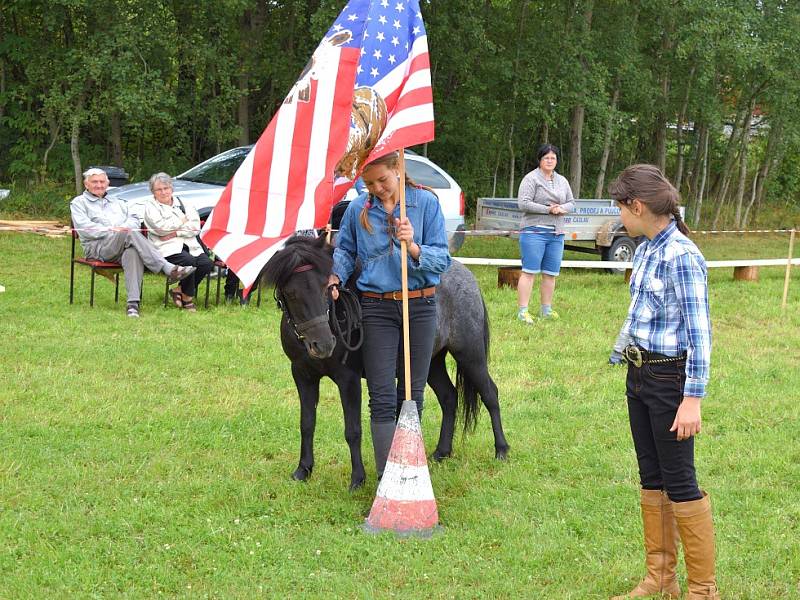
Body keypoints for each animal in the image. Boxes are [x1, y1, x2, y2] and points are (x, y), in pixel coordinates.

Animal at [264, 236, 512, 492]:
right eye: (291, 293)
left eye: (327, 287)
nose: (323, 344)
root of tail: (467, 277)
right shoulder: (303, 376)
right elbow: (307, 423)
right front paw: (303, 470)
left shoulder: (348, 379)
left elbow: (353, 430)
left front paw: (357, 479)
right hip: (431, 363)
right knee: (449, 397)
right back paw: (441, 453)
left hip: (470, 356)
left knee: (490, 394)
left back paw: (501, 450)